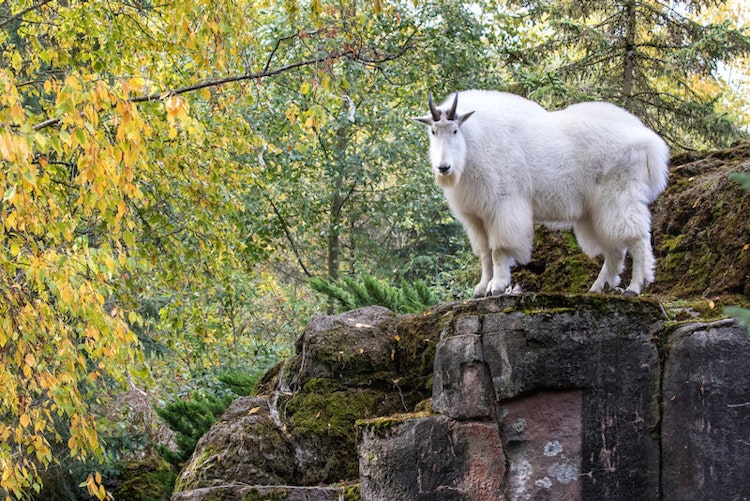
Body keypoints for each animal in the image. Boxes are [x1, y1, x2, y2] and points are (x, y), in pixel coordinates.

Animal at [418, 90, 668, 294]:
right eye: (433, 131)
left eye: (455, 130)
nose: (443, 167)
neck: (473, 144)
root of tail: (647, 141)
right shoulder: (476, 216)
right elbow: (484, 253)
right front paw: (481, 287)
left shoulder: (502, 206)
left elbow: (498, 249)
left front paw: (496, 286)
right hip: (596, 210)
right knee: (614, 248)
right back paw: (599, 287)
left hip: (620, 197)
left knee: (637, 238)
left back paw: (634, 287)